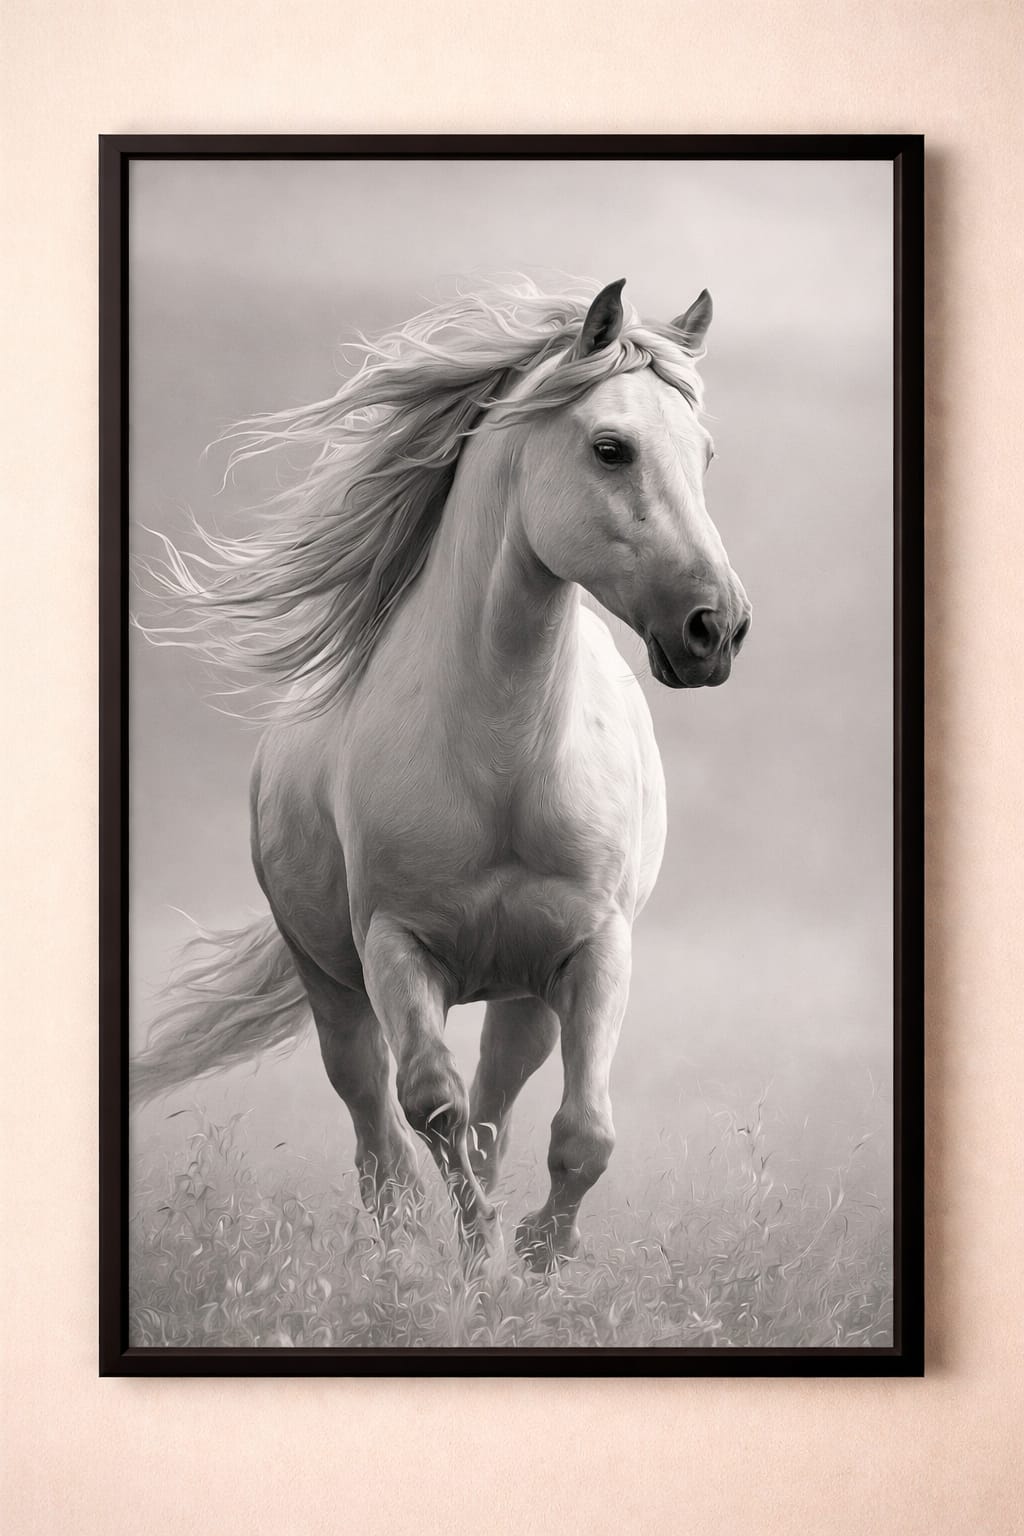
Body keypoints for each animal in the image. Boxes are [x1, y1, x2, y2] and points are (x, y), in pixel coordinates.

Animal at [133, 276, 751, 1274]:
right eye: (610, 447)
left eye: (703, 454)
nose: (716, 630)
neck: (502, 761)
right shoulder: (395, 948)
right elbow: (432, 1108)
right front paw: (478, 1246)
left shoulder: (595, 949)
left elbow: (581, 1136)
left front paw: (535, 1255)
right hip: (332, 983)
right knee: (377, 1129)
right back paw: (397, 1247)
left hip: (526, 998)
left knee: (496, 1110)